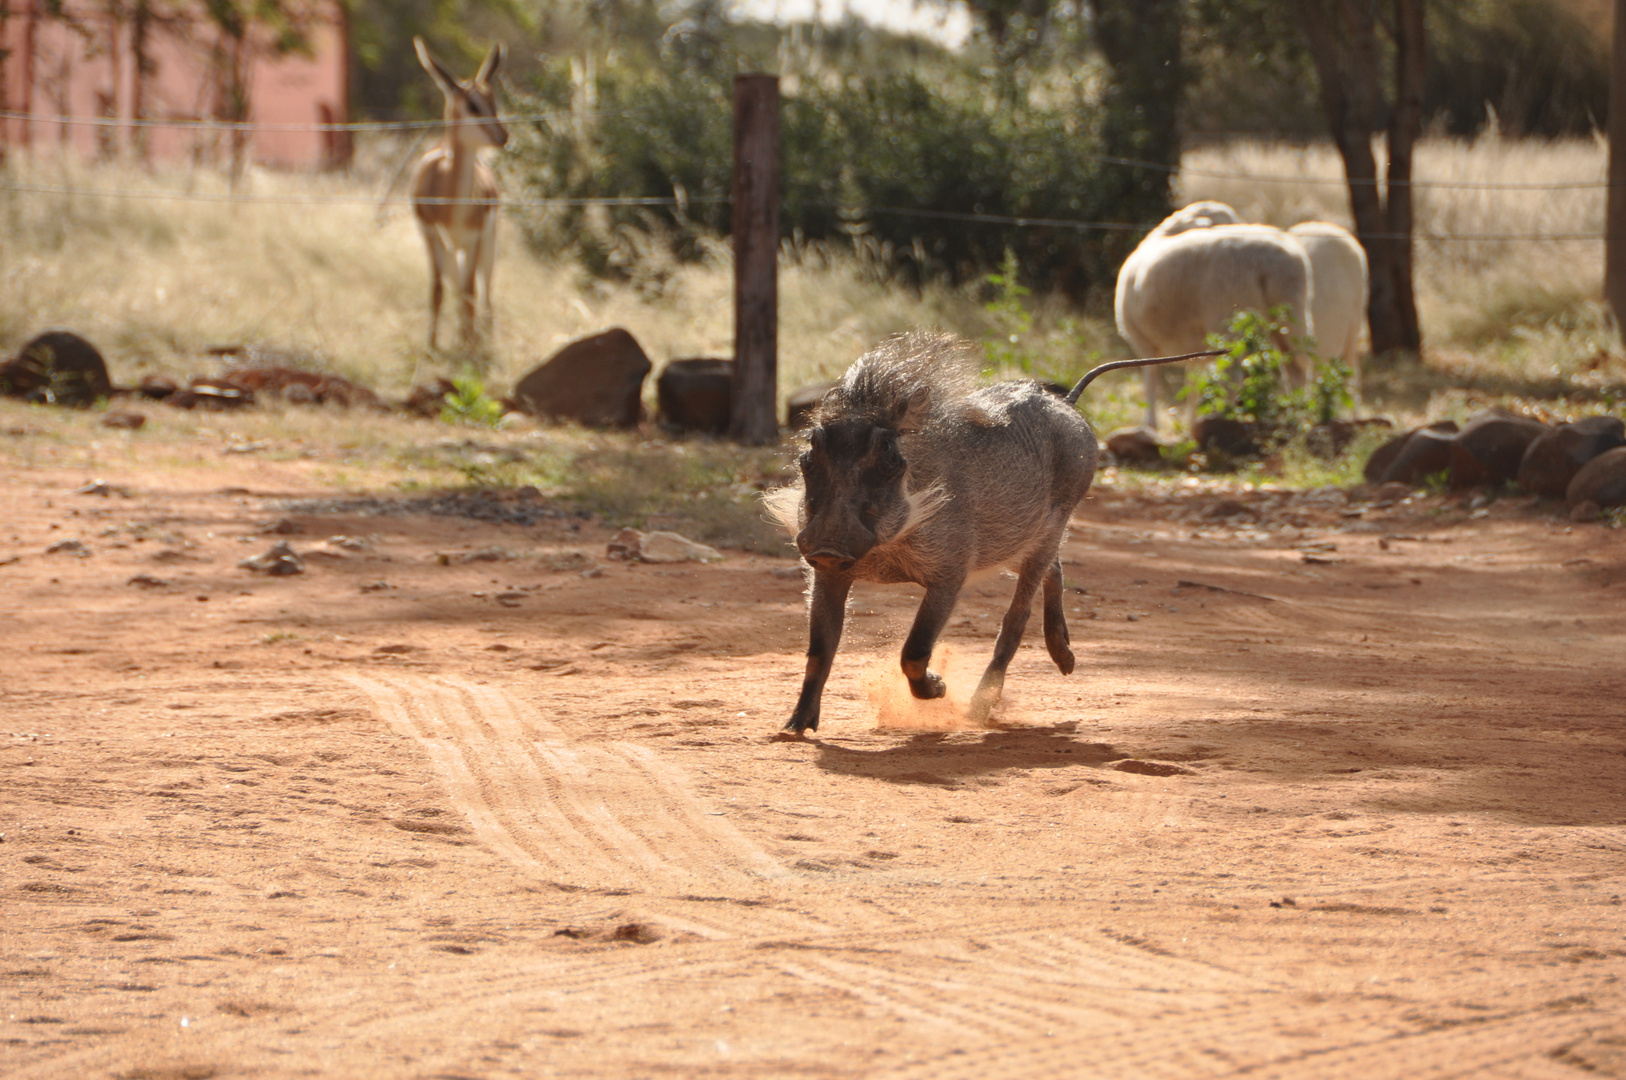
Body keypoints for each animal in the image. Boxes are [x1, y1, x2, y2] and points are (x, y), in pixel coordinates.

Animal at [409, 35, 504, 349]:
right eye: (473, 106)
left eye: (493, 102)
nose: (502, 136)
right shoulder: (430, 234)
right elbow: (438, 289)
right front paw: (432, 346)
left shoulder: (474, 239)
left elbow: (470, 291)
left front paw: (470, 346)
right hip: (451, 247)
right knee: (457, 284)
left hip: (487, 243)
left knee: (482, 288)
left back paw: (481, 334)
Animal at [1112, 201, 1313, 426]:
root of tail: (1271, 264)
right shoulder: (1193, 346)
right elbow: (1192, 382)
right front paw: (1190, 422)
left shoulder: (1142, 340)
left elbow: (1151, 379)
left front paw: (1150, 423)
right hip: (1290, 314)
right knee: (1297, 367)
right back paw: (1298, 414)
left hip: (1227, 318)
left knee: (1232, 377)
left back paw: (1225, 415)